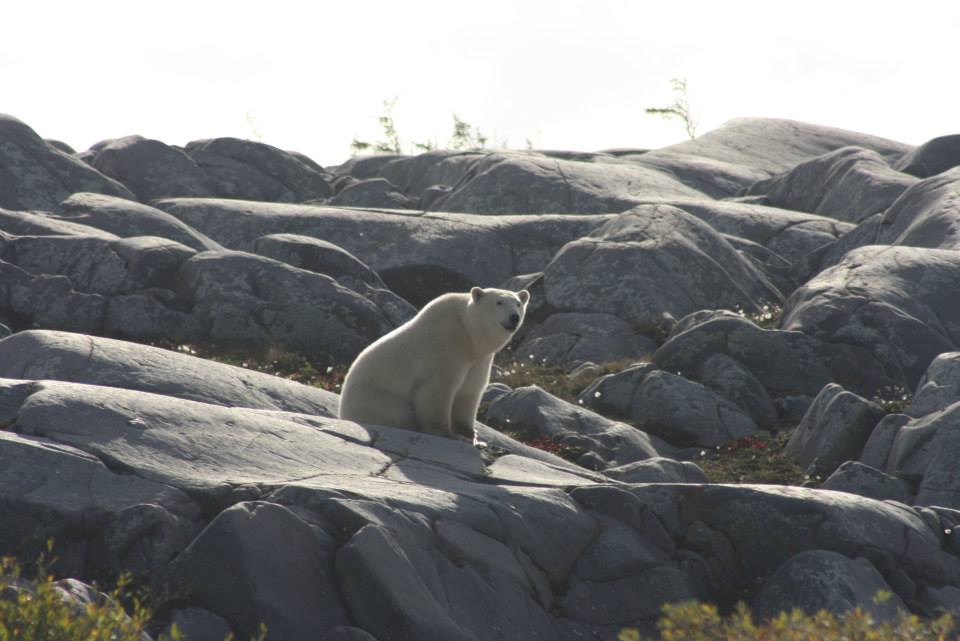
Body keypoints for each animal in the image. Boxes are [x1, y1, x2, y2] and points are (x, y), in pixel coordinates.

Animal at [338, 287, 530, 439]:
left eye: (518, 303)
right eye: (499, 302)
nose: (514, 317)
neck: (468, 332)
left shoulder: (479, 359)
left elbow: (469, 390)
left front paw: (472, 435)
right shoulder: (444, 348)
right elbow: (438, 390)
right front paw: (449, 434)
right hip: (376, 399)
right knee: (400, 412)